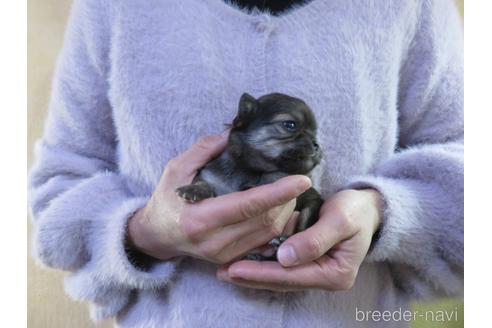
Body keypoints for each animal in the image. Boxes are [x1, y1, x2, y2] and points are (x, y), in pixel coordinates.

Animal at [177, 93, 322, 260]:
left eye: (315, 132)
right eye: (290, 125)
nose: (317, 144)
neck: (252, 170)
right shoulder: (210, 175)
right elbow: (203, 183)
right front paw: (193, 190)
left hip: (311, 208)